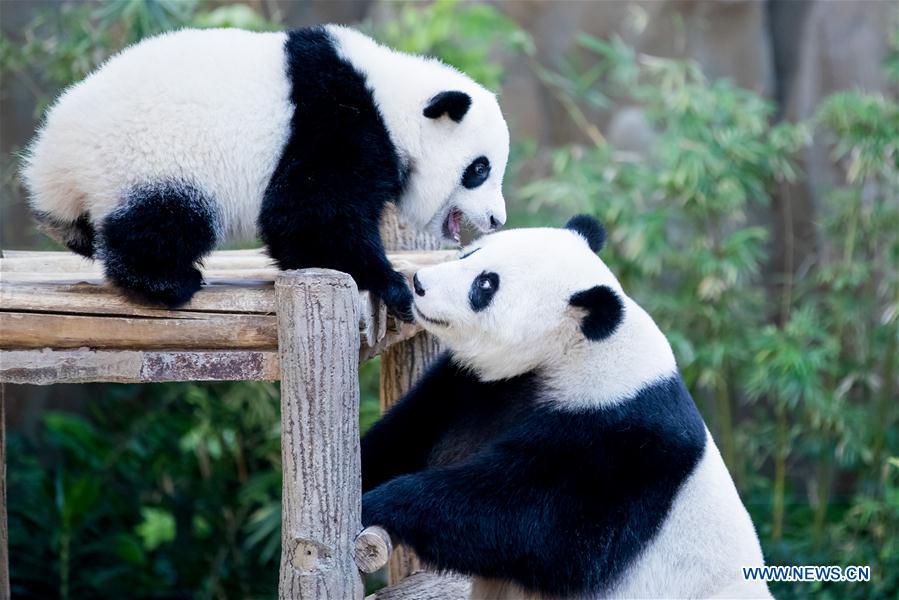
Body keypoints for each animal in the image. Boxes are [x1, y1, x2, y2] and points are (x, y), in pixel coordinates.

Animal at [21, 25, 510, 316]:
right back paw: (166, 282)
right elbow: (309, 216)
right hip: (152, 156)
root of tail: (53, 157)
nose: (496, 219)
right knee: (163, 221)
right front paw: (393, 285)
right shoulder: (333, 120)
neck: (393, 102)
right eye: (479, 169)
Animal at [362, 217, 768, 600]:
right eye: (470, 253)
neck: (574, 352)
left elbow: (530, 522)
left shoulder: (619, 442)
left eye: (486, 285)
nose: (420, 284)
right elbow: (405, 436)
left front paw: (379, 503)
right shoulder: (476, 388)